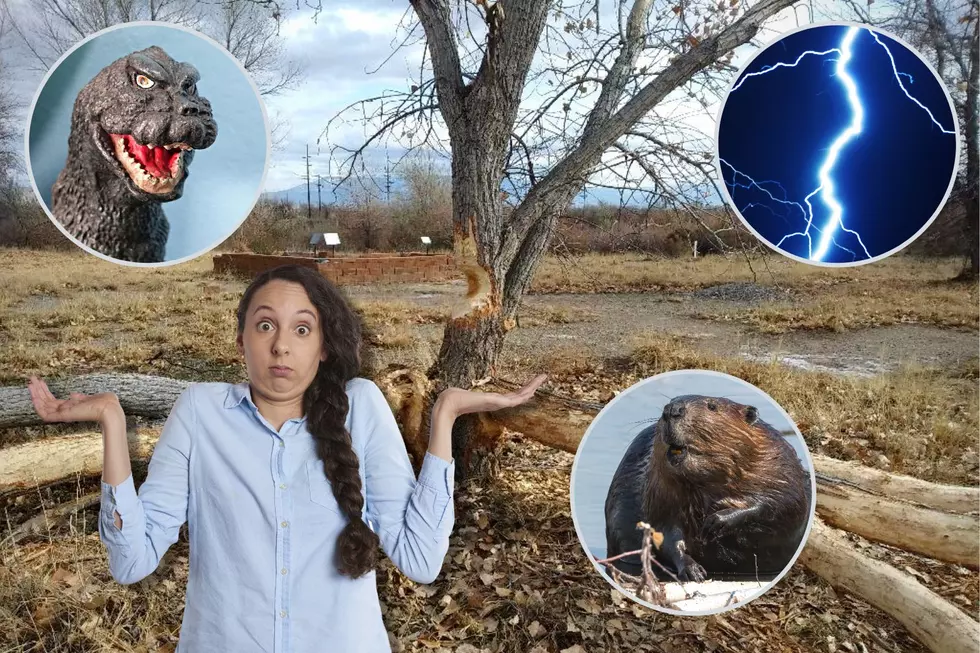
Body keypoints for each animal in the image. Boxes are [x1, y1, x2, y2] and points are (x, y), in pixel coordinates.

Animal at [604, 392, 812, 580]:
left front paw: (716, 521)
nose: (672, 410)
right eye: (671, 401)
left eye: (712, 406)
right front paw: (693, 570)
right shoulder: (657, 491)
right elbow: (664, 532)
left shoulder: (781, 465)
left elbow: (784, 504)